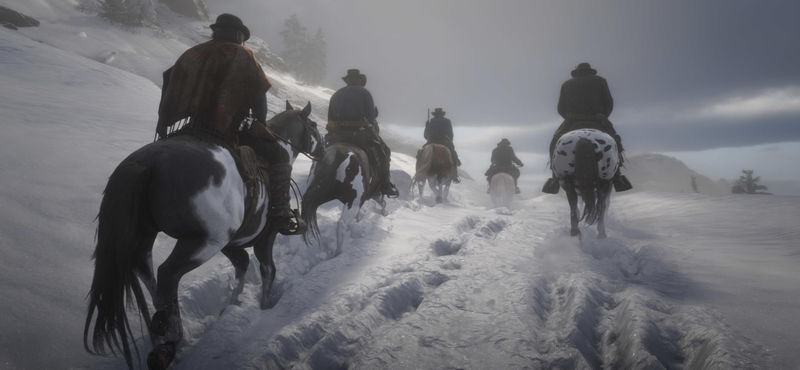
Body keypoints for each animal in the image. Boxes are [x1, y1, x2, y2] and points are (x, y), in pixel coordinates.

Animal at [83, 100, 324, 370]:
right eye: (314, 126)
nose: (324, 150)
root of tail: (148, 163)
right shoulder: (263, 238)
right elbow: (268, 269)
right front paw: (263, 307)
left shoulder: (231, 243)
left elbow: (242, 263)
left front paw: (233, 305)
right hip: (204, 242)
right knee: (168, 273)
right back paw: (170, 341)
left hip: (147, 232)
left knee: (144, 268)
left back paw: (159, 323)